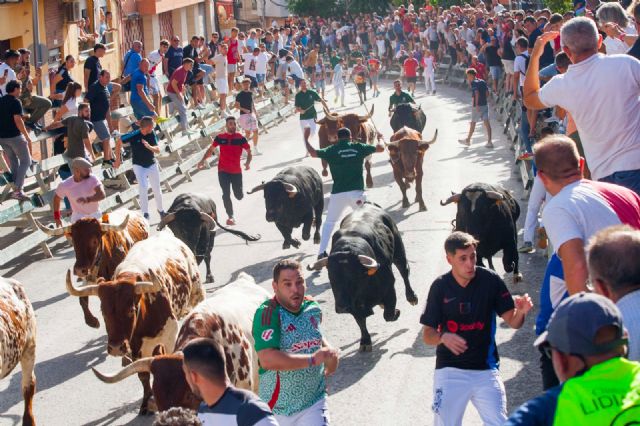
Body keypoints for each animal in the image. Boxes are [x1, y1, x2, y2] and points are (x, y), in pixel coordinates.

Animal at [62, 231, 202, 414]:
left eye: (130, 310)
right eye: (103, 312)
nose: (115, 348)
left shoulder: (170, 336)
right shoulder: (134, 346)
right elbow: (142, 374)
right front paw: (146, 402)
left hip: (197, 293)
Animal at [308, 203, 418, 352]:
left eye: (353, 277)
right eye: (331, 277)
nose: (342, 307)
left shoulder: (389, 287)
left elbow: (389, 315)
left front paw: (396, 311)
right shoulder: (354, 305)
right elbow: (360, 322)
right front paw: (365, 341)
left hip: (399, 252)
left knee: (404, 271)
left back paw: (412, 297)